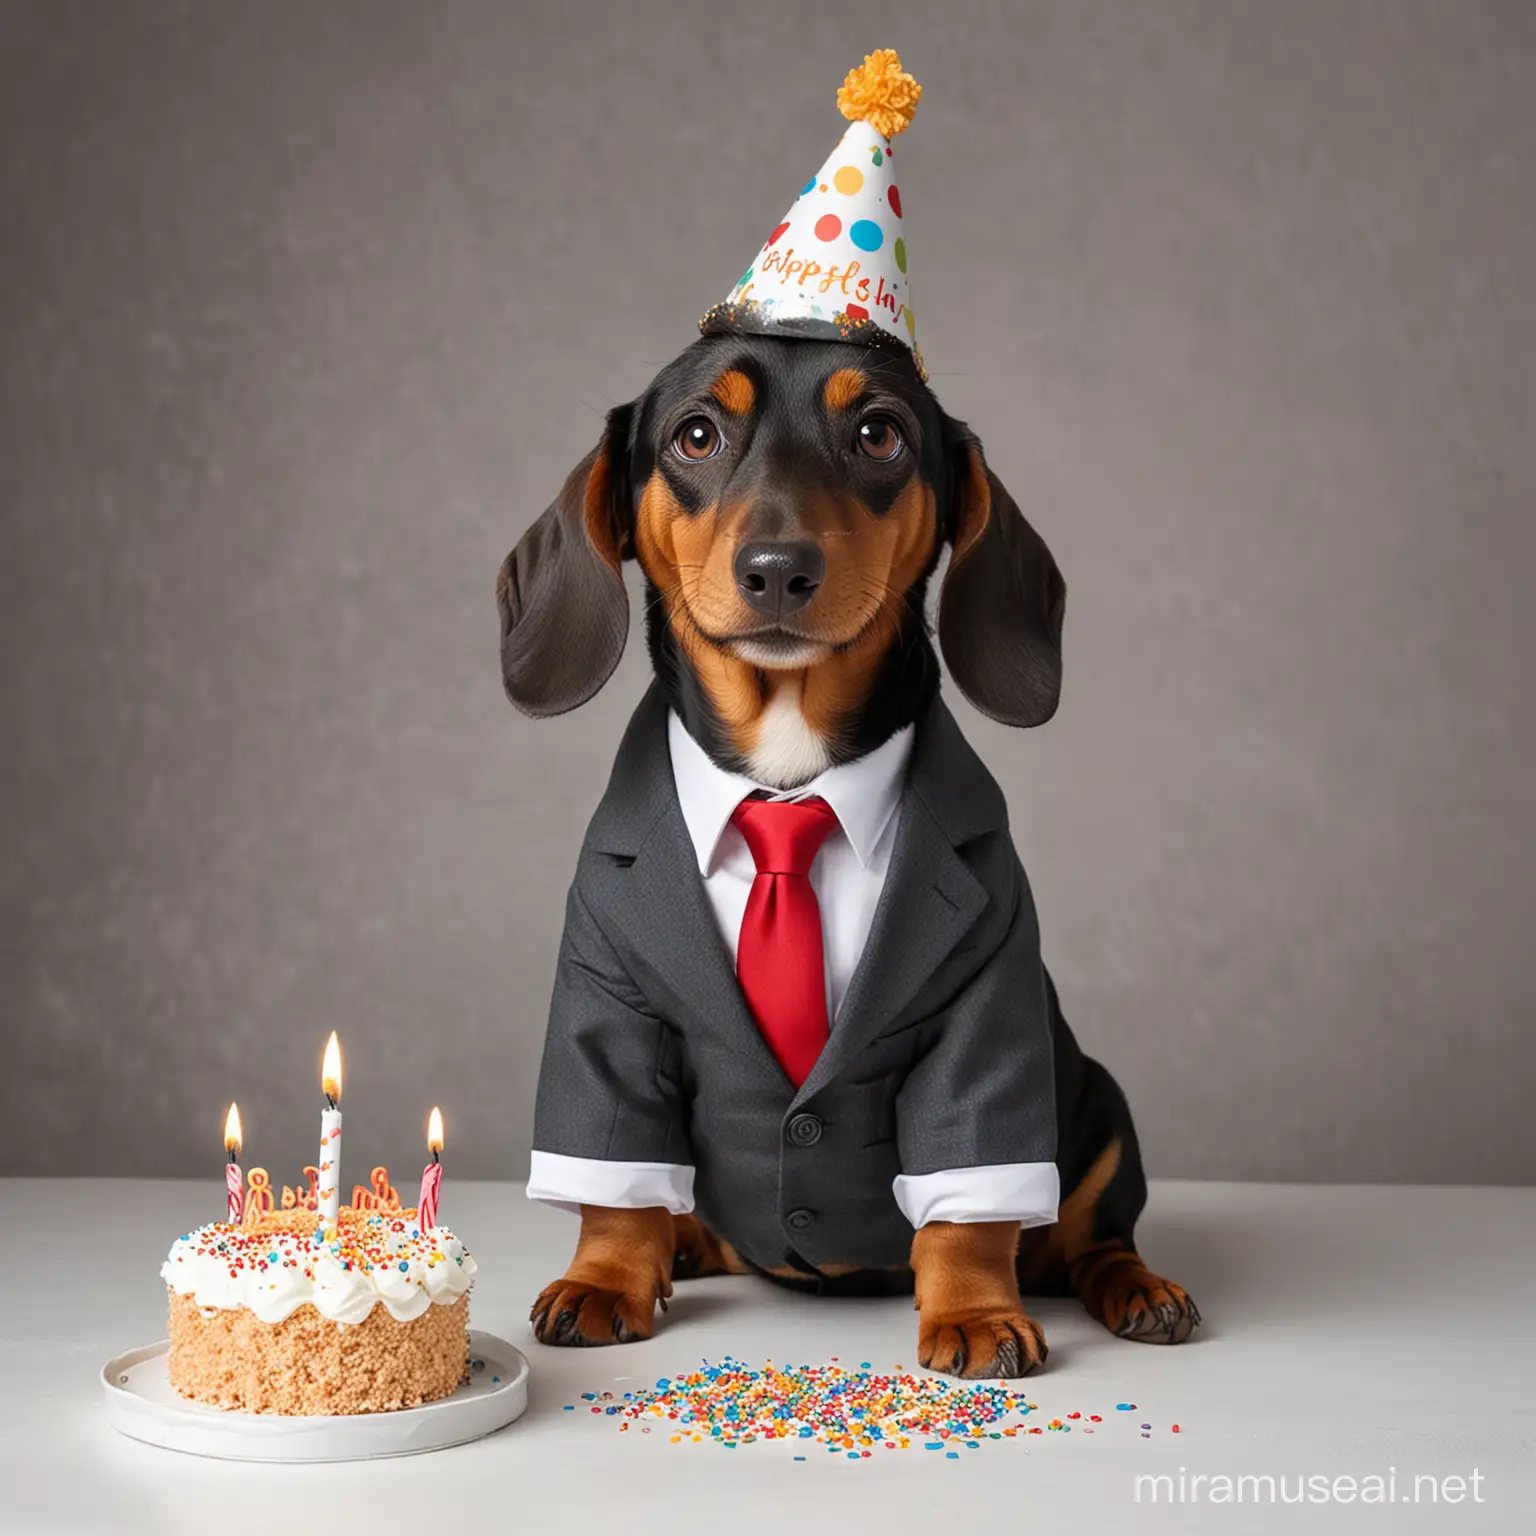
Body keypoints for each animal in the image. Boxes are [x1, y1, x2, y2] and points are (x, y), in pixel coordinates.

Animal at [497, 336, 1191, 1382]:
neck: (791, 781)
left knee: (1090, 1238)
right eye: (695, 434)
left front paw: (976, 1309)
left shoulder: (983, 1004)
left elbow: (968, 1200)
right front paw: (606, 1276)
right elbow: (613, 1176)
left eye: (878, 435)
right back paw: (682, 1242)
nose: (779, 569)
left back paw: (1137, 1287)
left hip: (1100, 1108)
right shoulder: (607, 998)